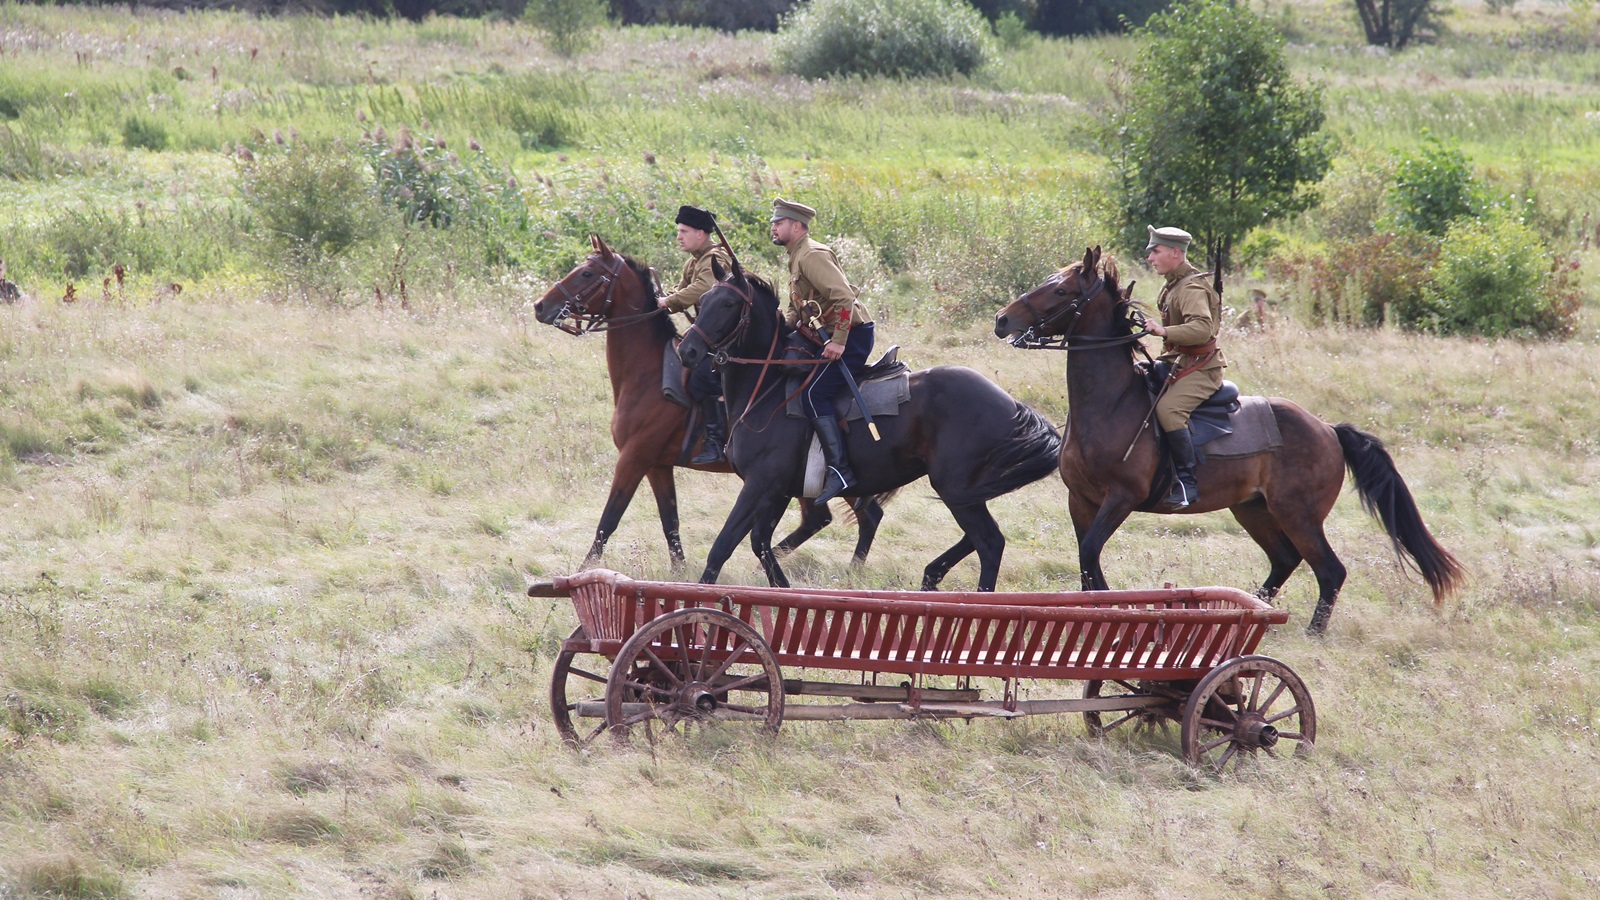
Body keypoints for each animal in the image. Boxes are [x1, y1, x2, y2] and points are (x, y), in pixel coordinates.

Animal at [531, 236, 886, 568]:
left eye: (587, 273)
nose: (540, 306)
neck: (648, 372)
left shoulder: (633, 459)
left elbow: (609, 520)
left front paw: (582, 571)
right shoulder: (658, 466)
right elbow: (670, 522)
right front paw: (680, 574)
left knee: (862, 515)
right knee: (832, 517)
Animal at [677, 260, 1062, 592]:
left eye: (728, 303)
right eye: (703, 300)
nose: (688, 351)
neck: (767, 387)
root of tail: (1009, 402)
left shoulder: (761, 486)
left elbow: (724, 545)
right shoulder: (777, 491)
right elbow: (760, 543)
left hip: (954, 489)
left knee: (989, 542)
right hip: (963, 492)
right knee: (976, 538)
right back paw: (930, 575)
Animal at [993, 246, 1465, 634]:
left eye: (1060, 290)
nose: (1002, 320)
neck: (1111, 403)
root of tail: (1327, 430)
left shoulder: (1121, 498)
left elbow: (1091, 554)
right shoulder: (1082, 500)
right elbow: (1085, 562)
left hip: (1298, 515)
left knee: (1330, 570)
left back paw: (1312, 631)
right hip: (1253, 511)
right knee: (1284, 560)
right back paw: (1255, 613)